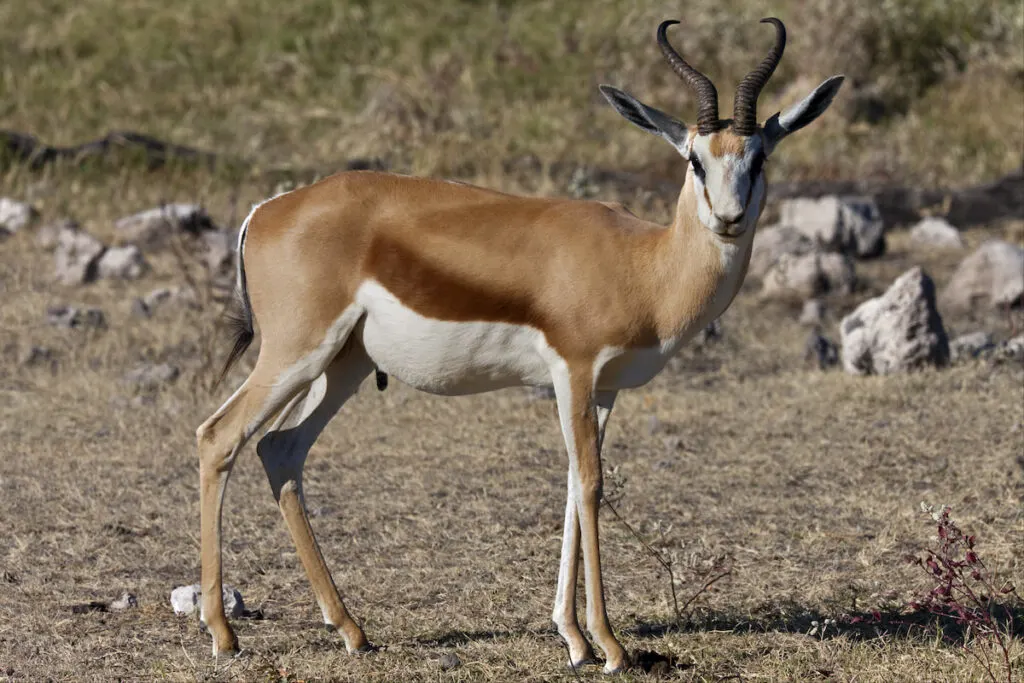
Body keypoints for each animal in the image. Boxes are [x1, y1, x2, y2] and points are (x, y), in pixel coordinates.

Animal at [195, 15, 843, 671]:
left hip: (342, 365)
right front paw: (609, 645)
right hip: (295, 354)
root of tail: (267, 210)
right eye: (694, 159)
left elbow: (573, 486)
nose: (729, 218)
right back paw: (224, 633)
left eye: (758, 158)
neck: (643, 265)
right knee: (218, 437)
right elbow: (590, 485)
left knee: (280, 450)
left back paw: (351, 629)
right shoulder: (573, 371)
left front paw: (574, 639)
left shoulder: (603, 390)